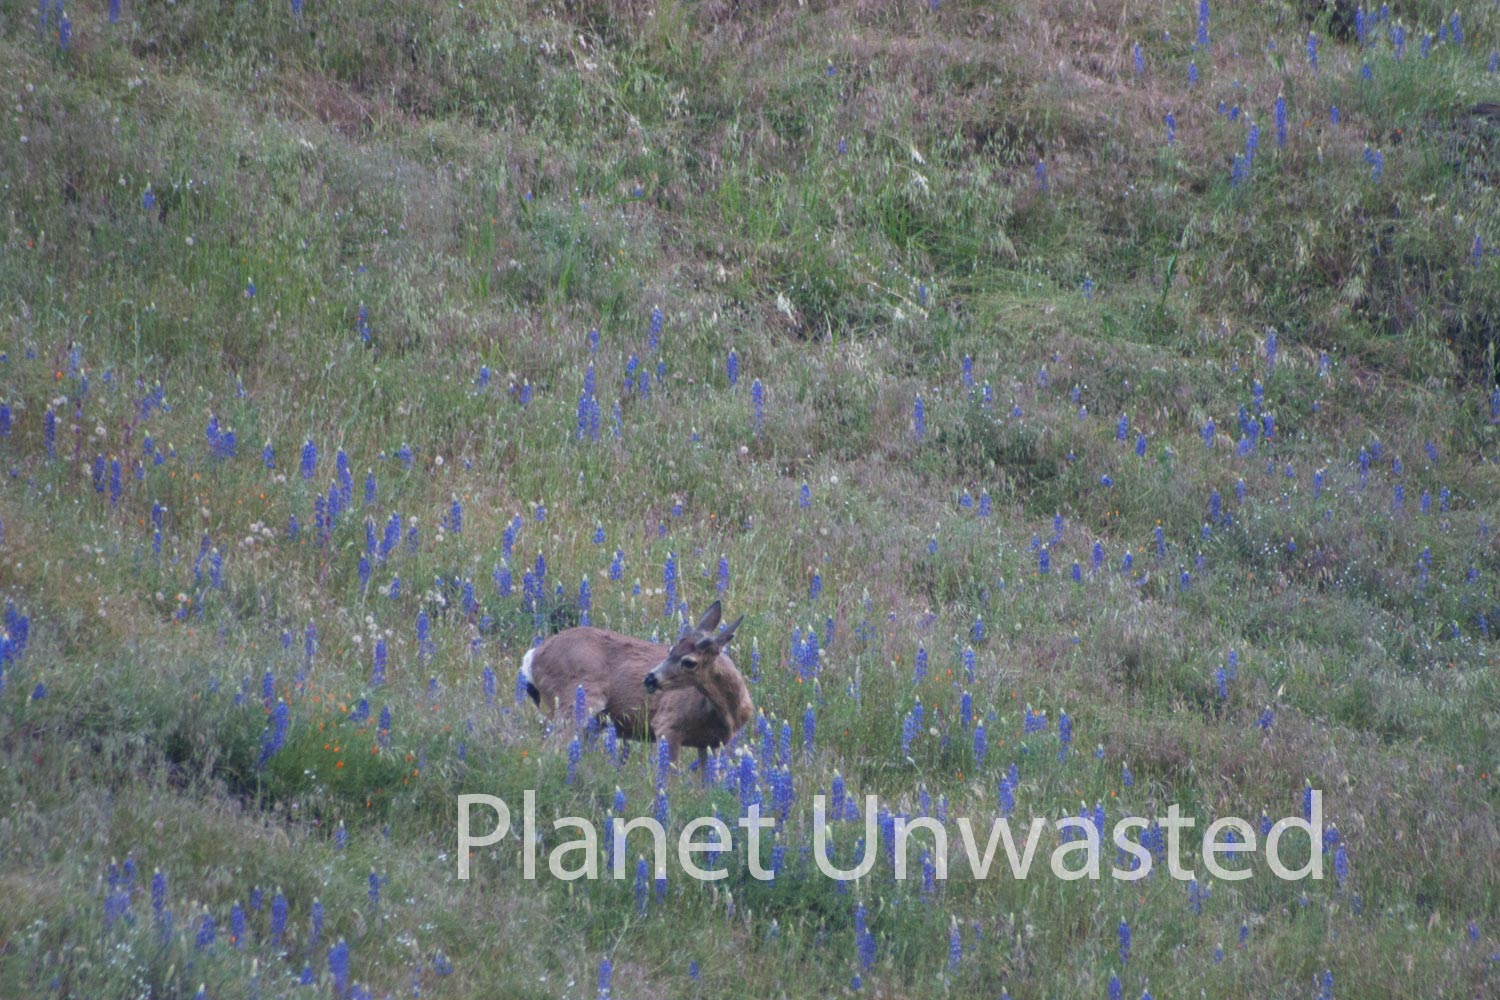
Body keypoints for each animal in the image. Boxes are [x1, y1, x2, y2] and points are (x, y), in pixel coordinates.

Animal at [519, 601, 753, 772]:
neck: (726, 712)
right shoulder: (667, 725)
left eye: (689, 661)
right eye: (671, 649)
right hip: (578, 698)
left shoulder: (712, 744)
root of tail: (532, 657)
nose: (650, 678)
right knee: (550, 749)